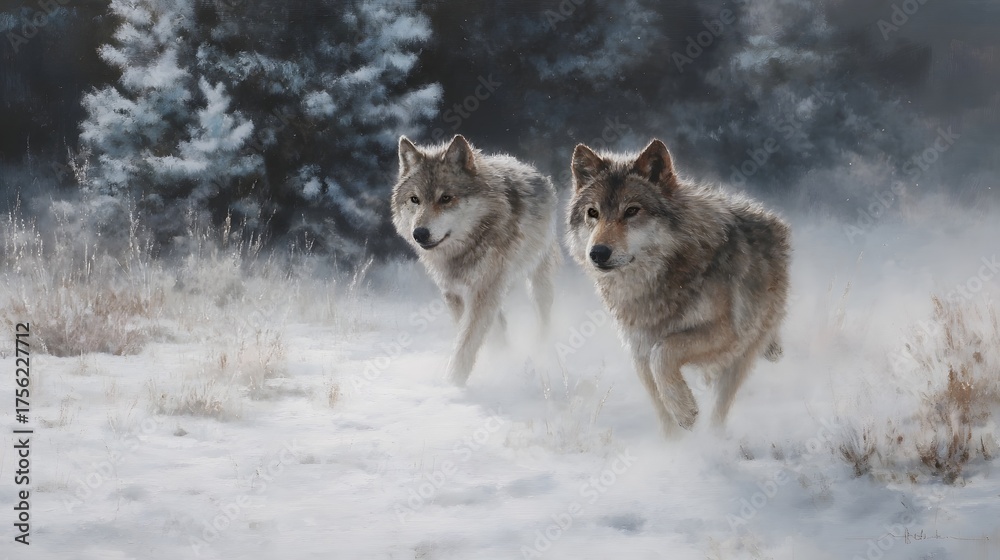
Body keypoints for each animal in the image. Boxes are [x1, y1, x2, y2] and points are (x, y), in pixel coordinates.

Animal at [392, 134, 560, 385]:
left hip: (538, 280)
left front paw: (452, 385)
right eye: (415, 199)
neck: (466, 248)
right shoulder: (454, 293)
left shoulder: (484, 291)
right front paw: (496, 363)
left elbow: (467, 343)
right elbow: (475, 336)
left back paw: (543, 352)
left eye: (446, 198)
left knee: (544, 317)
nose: (419, 234)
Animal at [566, 139, 790, 435]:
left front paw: (685, 412)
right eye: (593, 213)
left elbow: (663, 352)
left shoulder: (726, 333)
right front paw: (673, 440)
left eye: (632, 211)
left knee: (719, 408)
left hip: (742, 353)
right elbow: (662, 411)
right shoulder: (639, 350)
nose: (598, 253)